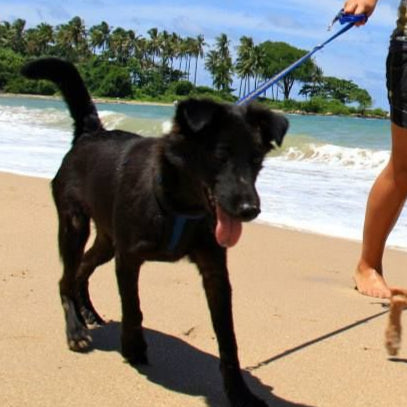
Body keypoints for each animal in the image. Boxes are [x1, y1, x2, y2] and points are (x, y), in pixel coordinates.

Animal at [22, 58, 288, 407]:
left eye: (256, 160)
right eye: (220, 155)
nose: (249, 210)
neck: (179, 204)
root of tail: (91, 133)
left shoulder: (215, 272)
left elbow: (228, 338)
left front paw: (239, 392)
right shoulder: (128, 258)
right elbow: (132, 308)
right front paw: (133, 347)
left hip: (106, 241)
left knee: (82, 269)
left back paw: (88, 312)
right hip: (74, 227)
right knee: (65, 278)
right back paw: (75, 329)